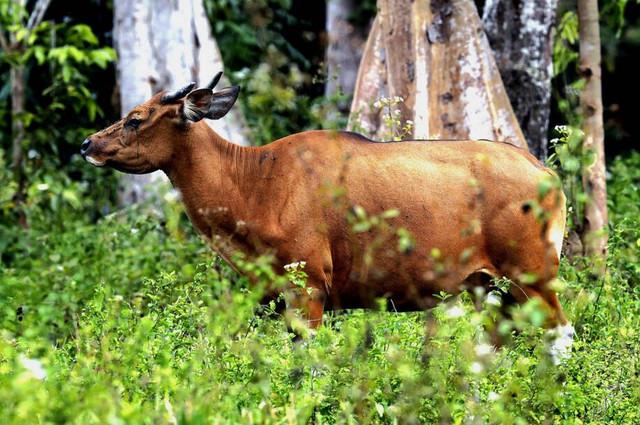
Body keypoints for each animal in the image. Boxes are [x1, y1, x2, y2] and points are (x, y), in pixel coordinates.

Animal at [81, 76, 576, 362]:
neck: (255, 183)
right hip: (488, 288)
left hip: (532, 274)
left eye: (135, 118)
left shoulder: (309, 287)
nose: (88, 144)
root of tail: (546, 173)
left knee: (561, 336)